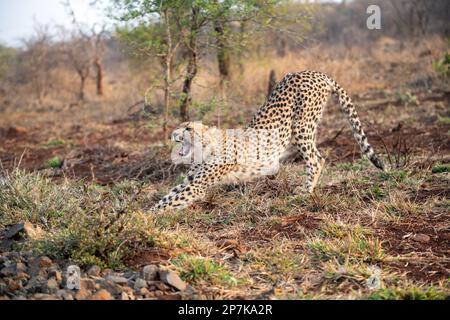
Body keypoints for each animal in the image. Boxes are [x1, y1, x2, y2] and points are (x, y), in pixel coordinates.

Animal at [151, 71, 384, 214]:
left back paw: (305, 192)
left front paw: (147, 217)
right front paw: (147, 212)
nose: (173, 134)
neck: (206, 148)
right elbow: (167, 197)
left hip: (301, 128)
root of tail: (315, 72)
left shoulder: (197, 185)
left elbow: (170, 202)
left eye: (188, 128)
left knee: (316, 159)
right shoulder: (189, 181)